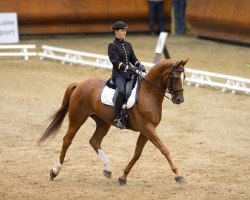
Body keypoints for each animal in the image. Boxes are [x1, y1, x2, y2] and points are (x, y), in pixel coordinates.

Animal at [38, 58, 188, 185]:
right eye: (175, 77)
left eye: (184, 77)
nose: (179, 100)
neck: (148, 93)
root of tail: (80, 84)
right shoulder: (147, 128)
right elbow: (164, 149)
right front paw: (179, 175)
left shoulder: (146, 131)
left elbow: (137, 154)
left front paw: (123, 177)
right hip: (77, 119)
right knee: (67, 140)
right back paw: (55, 171)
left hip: (103, 122)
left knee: (94, 141)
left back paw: (107, 169)